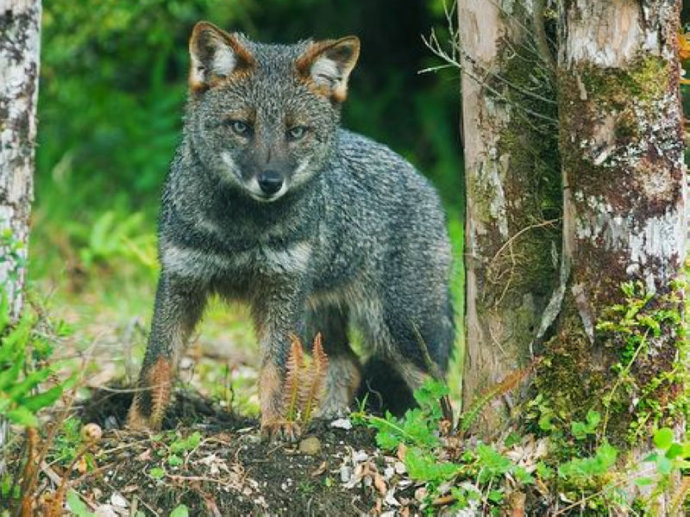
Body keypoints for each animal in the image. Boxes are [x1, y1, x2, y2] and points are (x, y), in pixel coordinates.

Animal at [126, 22, 454, 438]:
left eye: (296, 132)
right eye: (241, 127)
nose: (270, 182)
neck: (239, 231)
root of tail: (426, 183)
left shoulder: (281, 289)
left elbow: (277, 368)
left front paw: (277, 422)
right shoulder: (180, 281)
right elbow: (156, 363)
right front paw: (138, 426)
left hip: (395, 329)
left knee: (437, 386)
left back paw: (438, 432)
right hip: (318, 319)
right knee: (348, 365)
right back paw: (332, 418)